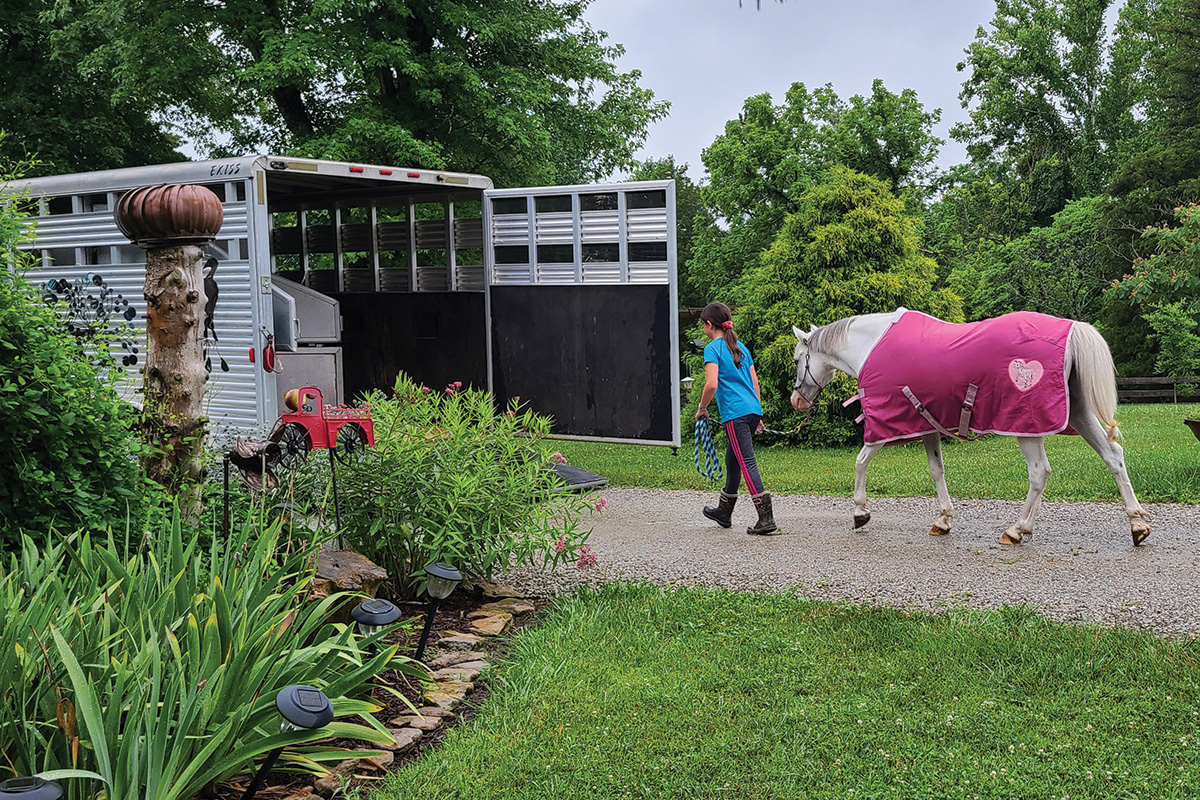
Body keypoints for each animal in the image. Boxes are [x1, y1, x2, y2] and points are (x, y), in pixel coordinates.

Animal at [787, 309, 1152, 546]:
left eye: (796, 359)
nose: (796, 401)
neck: (871, 344)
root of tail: (1072, 329)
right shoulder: (926, 425)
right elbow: (937, 471)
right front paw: (943, 520)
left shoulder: (885, 425)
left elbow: (861, 461)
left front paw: (860, 512)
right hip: (1076, 412)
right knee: (1113, 456)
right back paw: (1136, 524)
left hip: (1026, 425)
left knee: (1039, 472)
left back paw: (1017, 529)